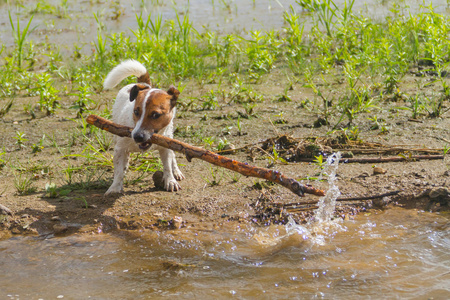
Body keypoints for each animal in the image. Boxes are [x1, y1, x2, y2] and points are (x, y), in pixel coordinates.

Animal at [103, 59, 184, 195]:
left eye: (155, 115)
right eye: (136, 112)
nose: (137, 137)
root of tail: (143, 83)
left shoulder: (165, 147)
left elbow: (167, 165)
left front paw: (170, 180)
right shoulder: (119, 149)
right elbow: (118, 171)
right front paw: (115, 187)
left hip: (170, 138)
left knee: (173, 155)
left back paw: (176, 171)